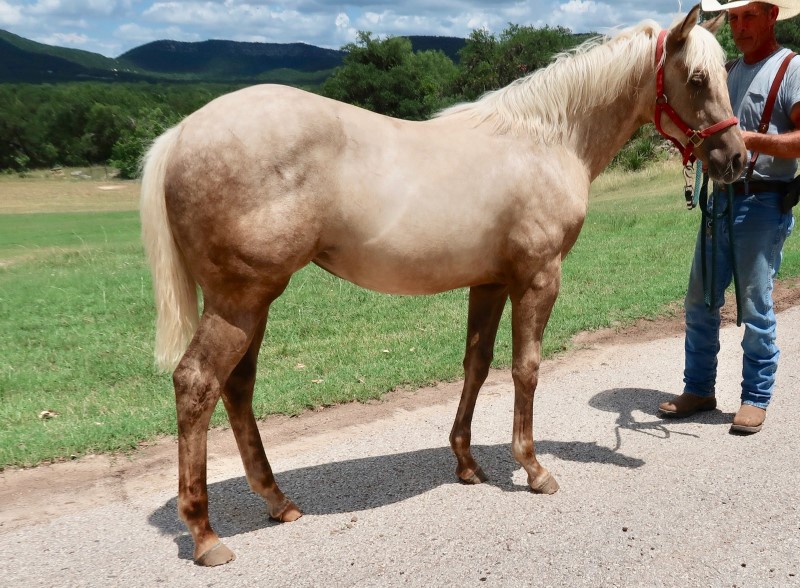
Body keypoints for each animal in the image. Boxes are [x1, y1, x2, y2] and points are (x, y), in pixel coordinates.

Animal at [138, 4, 744, 564]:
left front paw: (468, 464)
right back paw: (206, 534)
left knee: (237, 388)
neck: (547, 138)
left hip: (252, 302)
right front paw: (533, 468)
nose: (736, 158)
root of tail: (182, 133)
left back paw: (276, 500)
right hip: (240, 301)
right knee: (197, 384)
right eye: (696, 79)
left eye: (723, 72)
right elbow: (526, 368)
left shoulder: (491, 283)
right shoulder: (537, 278)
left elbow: (477, 364)